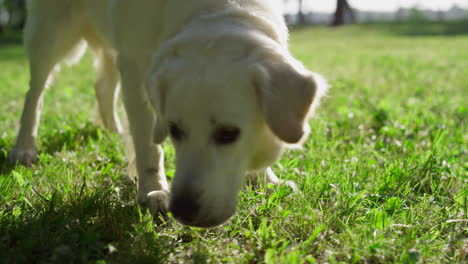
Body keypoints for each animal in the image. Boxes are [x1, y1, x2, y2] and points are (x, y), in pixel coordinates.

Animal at [9, 0, 328, 227]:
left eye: (228, 133)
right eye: (175, 130)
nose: (183, 210)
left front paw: (267, 181)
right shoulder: (135, 66)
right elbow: (148, 144)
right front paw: (153, 191)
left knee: (103, 85)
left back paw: (112, 131)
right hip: (51, 33)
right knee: (34, 94)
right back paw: (24, 147)